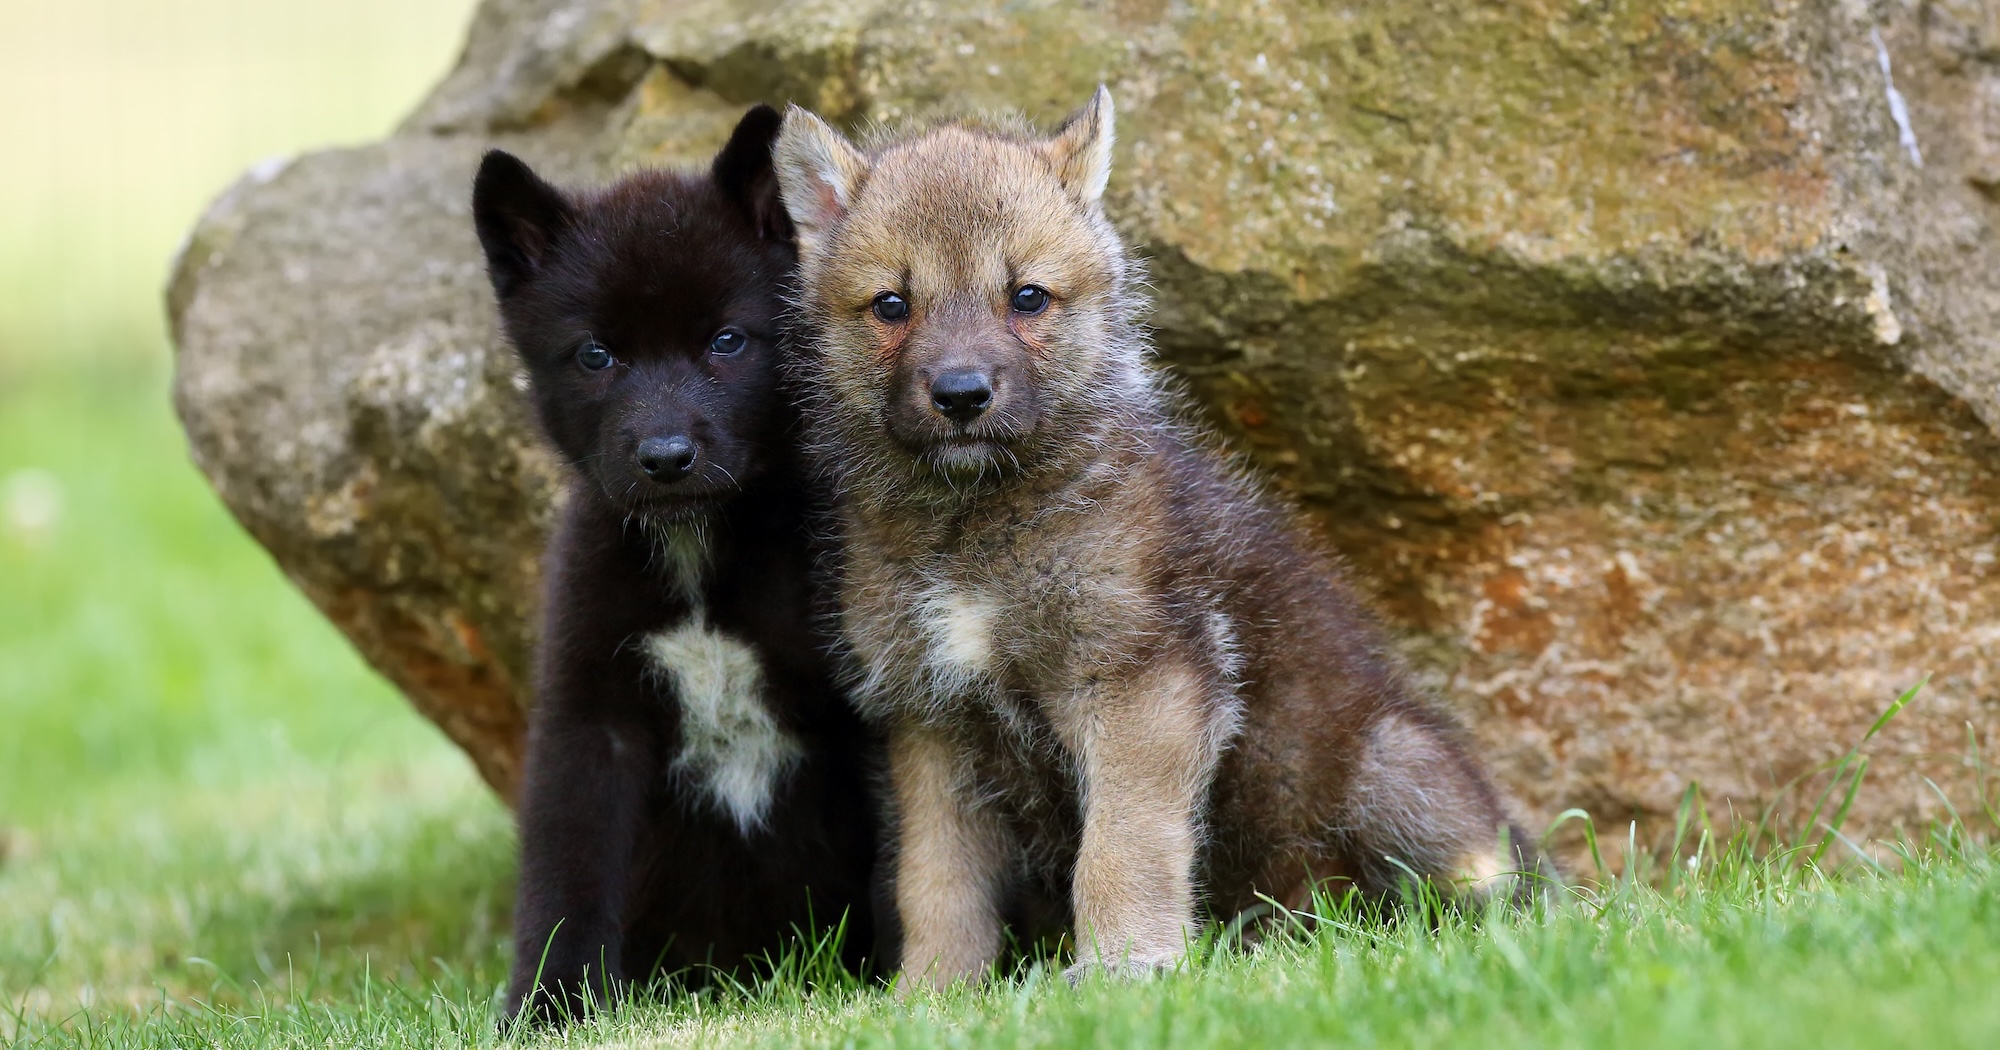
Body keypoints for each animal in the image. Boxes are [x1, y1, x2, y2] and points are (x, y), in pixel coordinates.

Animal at [472, 106, 883, 1024]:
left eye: (727, 341)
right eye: (596, 356)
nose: (665, 458)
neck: (699, 557)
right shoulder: (590, 720)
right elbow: (567, 874)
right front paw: (552, 1005)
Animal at [772, 88, 1544, 990]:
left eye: (1027, 297)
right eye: (892, 305)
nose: (961, 395)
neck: (975, 529)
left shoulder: (1141, 683)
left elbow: (1121, 848)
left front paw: (1126, 967)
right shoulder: (934, 720)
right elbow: (936, 883)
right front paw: (932, 992)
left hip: (1395, 767)